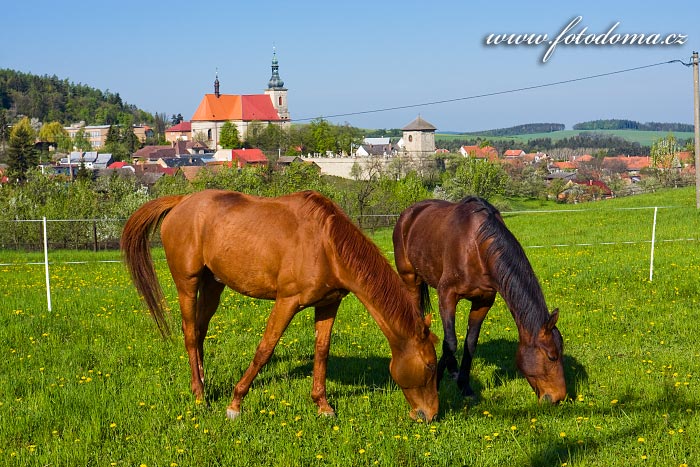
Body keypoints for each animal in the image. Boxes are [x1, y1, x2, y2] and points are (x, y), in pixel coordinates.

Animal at [121, 188, 438, 422]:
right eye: (431, 365)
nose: (431, 415)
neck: (326, 244)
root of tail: (182, 201)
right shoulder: (287, 302)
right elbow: (265, 349)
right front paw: (235, 403)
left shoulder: (328, 304)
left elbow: (322, 352)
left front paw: (323, 405)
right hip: (187, 283)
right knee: (189, 334)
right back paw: (199, 395)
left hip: (213, 284)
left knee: (199, 332)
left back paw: (200, 382)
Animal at [392, 196, 568, 404]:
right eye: (551, 357)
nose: (559, 397)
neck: (476, 246)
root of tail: (408, 213)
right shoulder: (447, 296)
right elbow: (450, 342)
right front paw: (434, 385)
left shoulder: (483, 302)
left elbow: (470, 343)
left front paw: (465, 386)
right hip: (410, 279)